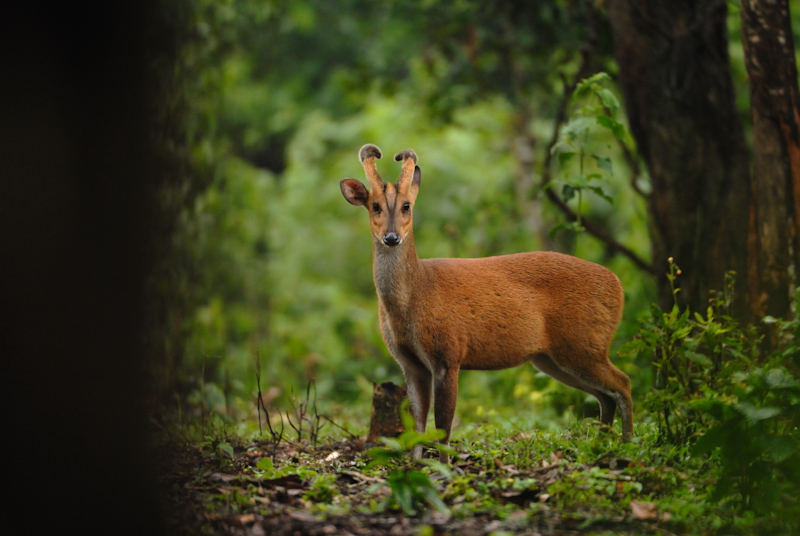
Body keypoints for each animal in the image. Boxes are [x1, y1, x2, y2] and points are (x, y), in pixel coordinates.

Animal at [340, 144, 636, 458]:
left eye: (406, 206)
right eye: (375, 206)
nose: (392, 237)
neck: (414, 296)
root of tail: (617, 285)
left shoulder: (448, 353)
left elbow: (443, 428)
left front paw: (442, 465)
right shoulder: (409, 362)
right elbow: (418, 424)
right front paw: (415, 463)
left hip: (582, 342)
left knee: (623, 382)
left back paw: (628, 444)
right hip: (553, 357)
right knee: (606, 395)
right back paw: (601, 443)